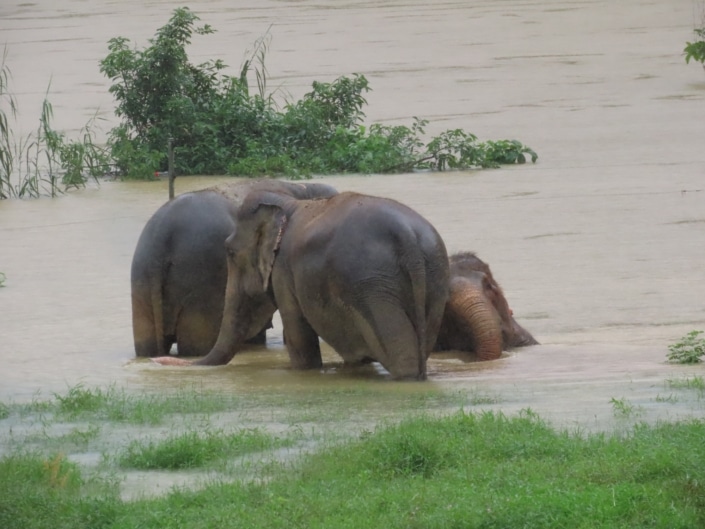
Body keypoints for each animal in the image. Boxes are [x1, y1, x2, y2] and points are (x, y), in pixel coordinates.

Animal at [131, 179, 338, 358]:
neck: (303, 187)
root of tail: (163, 234)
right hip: (202, 285)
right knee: (197, 345)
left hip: (142, 284)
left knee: (147, 345)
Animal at [153, 191, 450, 381]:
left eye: (230, 252)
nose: (158, 361)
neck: (287, 204)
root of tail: (407, 237)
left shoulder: (284, 272)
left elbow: (298, 334)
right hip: (434, 280)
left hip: (374, 287)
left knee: (401, 356)